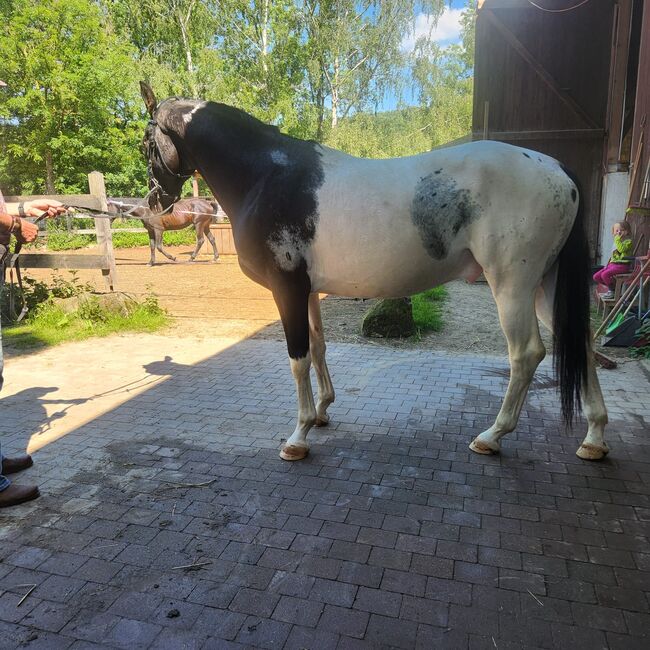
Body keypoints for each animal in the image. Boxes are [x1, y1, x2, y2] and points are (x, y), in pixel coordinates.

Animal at [138, 82, 608, 460]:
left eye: (146, 142)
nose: (156, 202)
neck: (267, 175)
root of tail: (557, 168)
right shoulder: (308, 290)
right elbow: (319, 347)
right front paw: (322, 412)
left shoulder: (286, 288)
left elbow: (297, 359)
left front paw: (298, 436)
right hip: (544, 286)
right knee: (580, 342)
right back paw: (594, 438)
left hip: (513, 286)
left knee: (526, 354)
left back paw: (492, 436)